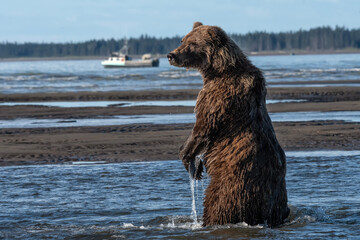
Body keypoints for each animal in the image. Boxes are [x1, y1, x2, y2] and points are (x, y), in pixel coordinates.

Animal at [168, 21, 290, 227]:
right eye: (182, 40)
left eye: (192, 43)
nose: (171, 55)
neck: (219, 70)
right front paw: (195, 166)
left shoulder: (218, 94)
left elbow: (204, 126)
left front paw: (188, 159)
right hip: (278, 195)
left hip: (233, 182)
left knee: (218, 204)